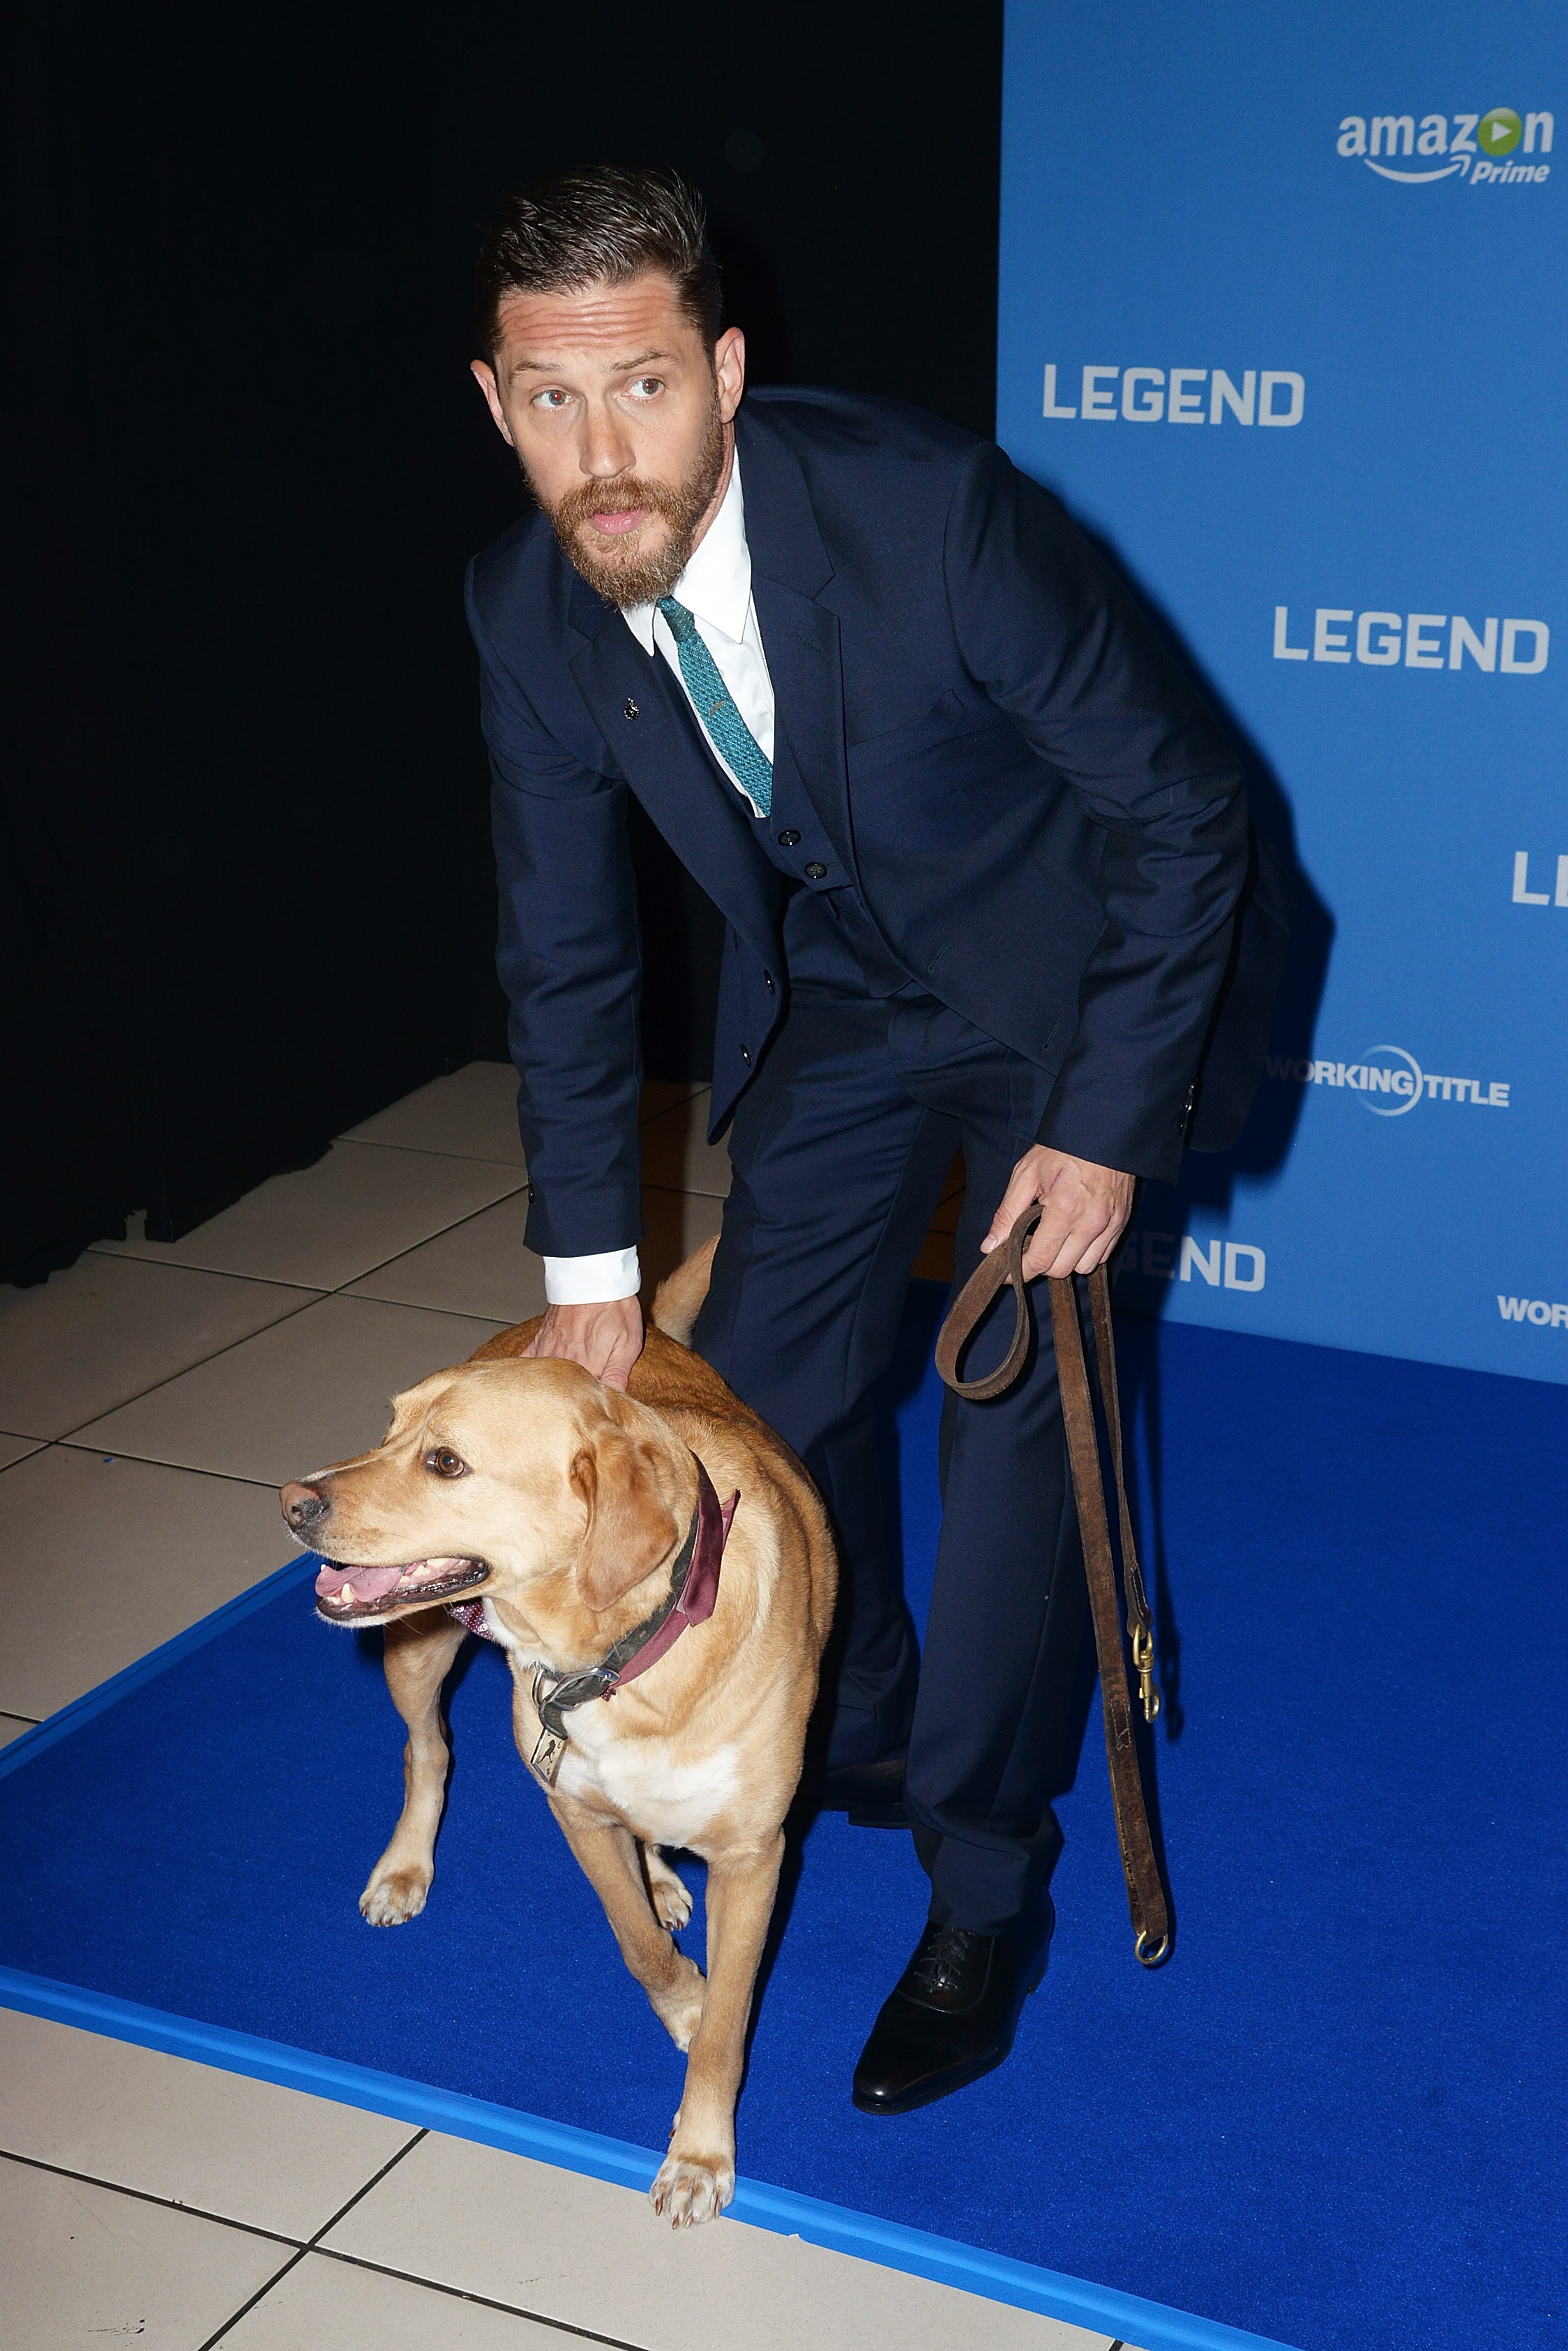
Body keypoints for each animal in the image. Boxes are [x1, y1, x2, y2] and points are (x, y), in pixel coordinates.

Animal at [287, 1241, 841, 2228]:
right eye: (388, 1429)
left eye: (445, 1461)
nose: (290, 1503)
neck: (625, 1656)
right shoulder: (576, 1814)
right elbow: (638, 1945)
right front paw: (684, 2000)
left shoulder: (755, 1854)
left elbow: (731, 2024)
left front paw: (701, 2151)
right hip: (417, 1649)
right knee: (427, 1751)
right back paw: (405, 1866)